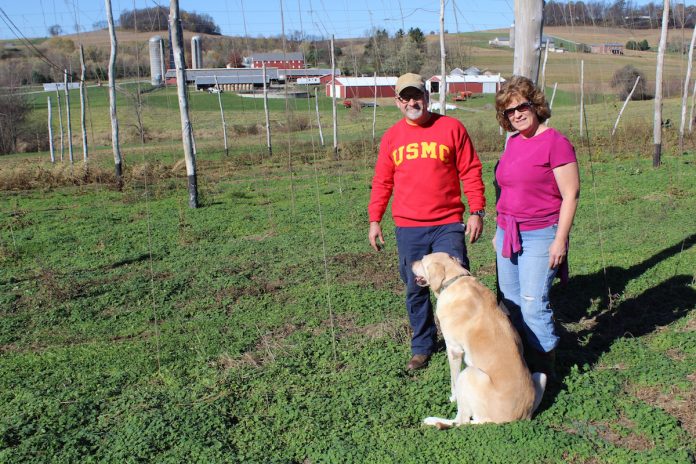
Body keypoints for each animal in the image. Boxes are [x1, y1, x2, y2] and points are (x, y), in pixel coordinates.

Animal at [410, 254, 548, 428]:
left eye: (422, 261)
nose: (410, 263)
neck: (454, 280)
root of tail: (512, 419)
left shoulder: (454, 349)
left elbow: (453, 381)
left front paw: (452, 397)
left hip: (469, 374)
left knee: (460, 421)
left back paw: (432, 420)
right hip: (540, 376)